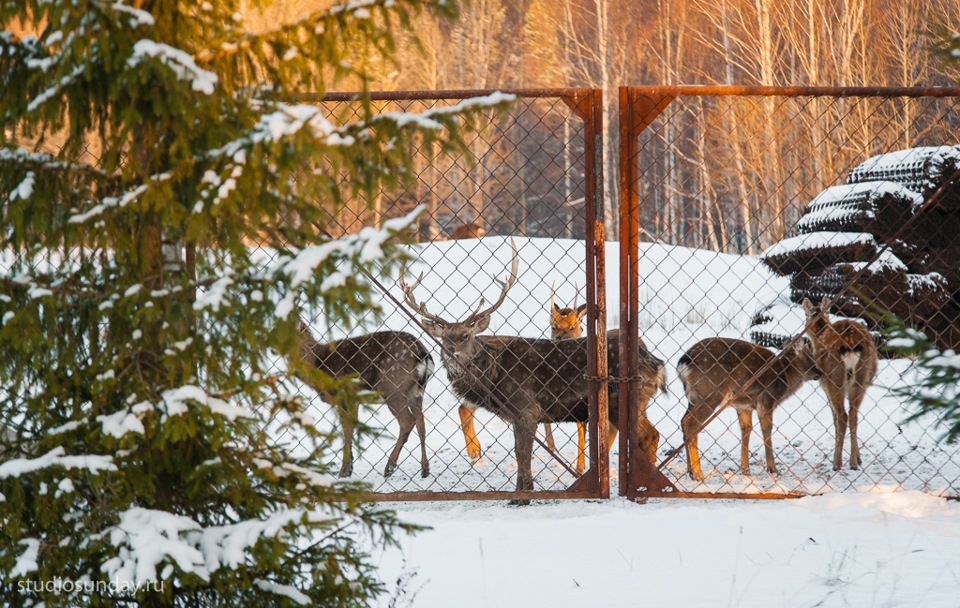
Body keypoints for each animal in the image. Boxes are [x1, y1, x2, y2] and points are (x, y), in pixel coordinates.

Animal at [294, 318, 434, 480]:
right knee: (421, 422)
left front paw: (344, 471)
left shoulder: (342, 395)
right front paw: (349, 467)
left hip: (393, 388)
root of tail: (423, 355)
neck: (318, 365)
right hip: (416, 392)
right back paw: (425, 469)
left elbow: (347, 430)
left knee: (407, 420)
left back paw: (389, 467)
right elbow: (351, 428)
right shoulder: (354, 400)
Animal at [400, 239, 668, 494]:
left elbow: (522, 452)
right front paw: (520, 491)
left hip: (624, 398)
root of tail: (656, 364)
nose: (451, 353)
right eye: (444, 338)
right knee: (650, 435)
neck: (493, 378)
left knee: (649, 436)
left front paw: (523, 494)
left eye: (466, 335)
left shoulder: (526, 408)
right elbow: (519, 452)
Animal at [680, 334, 820, 482]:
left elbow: (746, 429)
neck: (785, 377)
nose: (819, 372)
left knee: (684, 421)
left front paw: (745, 469)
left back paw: (690, 471)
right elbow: (766, 429)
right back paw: (698, 473)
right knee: (692, 424)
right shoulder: (766, 399)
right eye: (809, 356)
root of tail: (684, 363)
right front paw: (773, 469)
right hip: (710, 394)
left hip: (694, 398)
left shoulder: (743, 406)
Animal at [804, 296, 876, 472]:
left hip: (834, 378)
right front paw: (859, 457)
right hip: (861, 379)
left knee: (842, 415)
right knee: (853, 414)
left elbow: (834, 419)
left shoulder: (824, 385)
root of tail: (850, 345)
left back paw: (837, 463)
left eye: (806, 314)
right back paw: (854, 461)